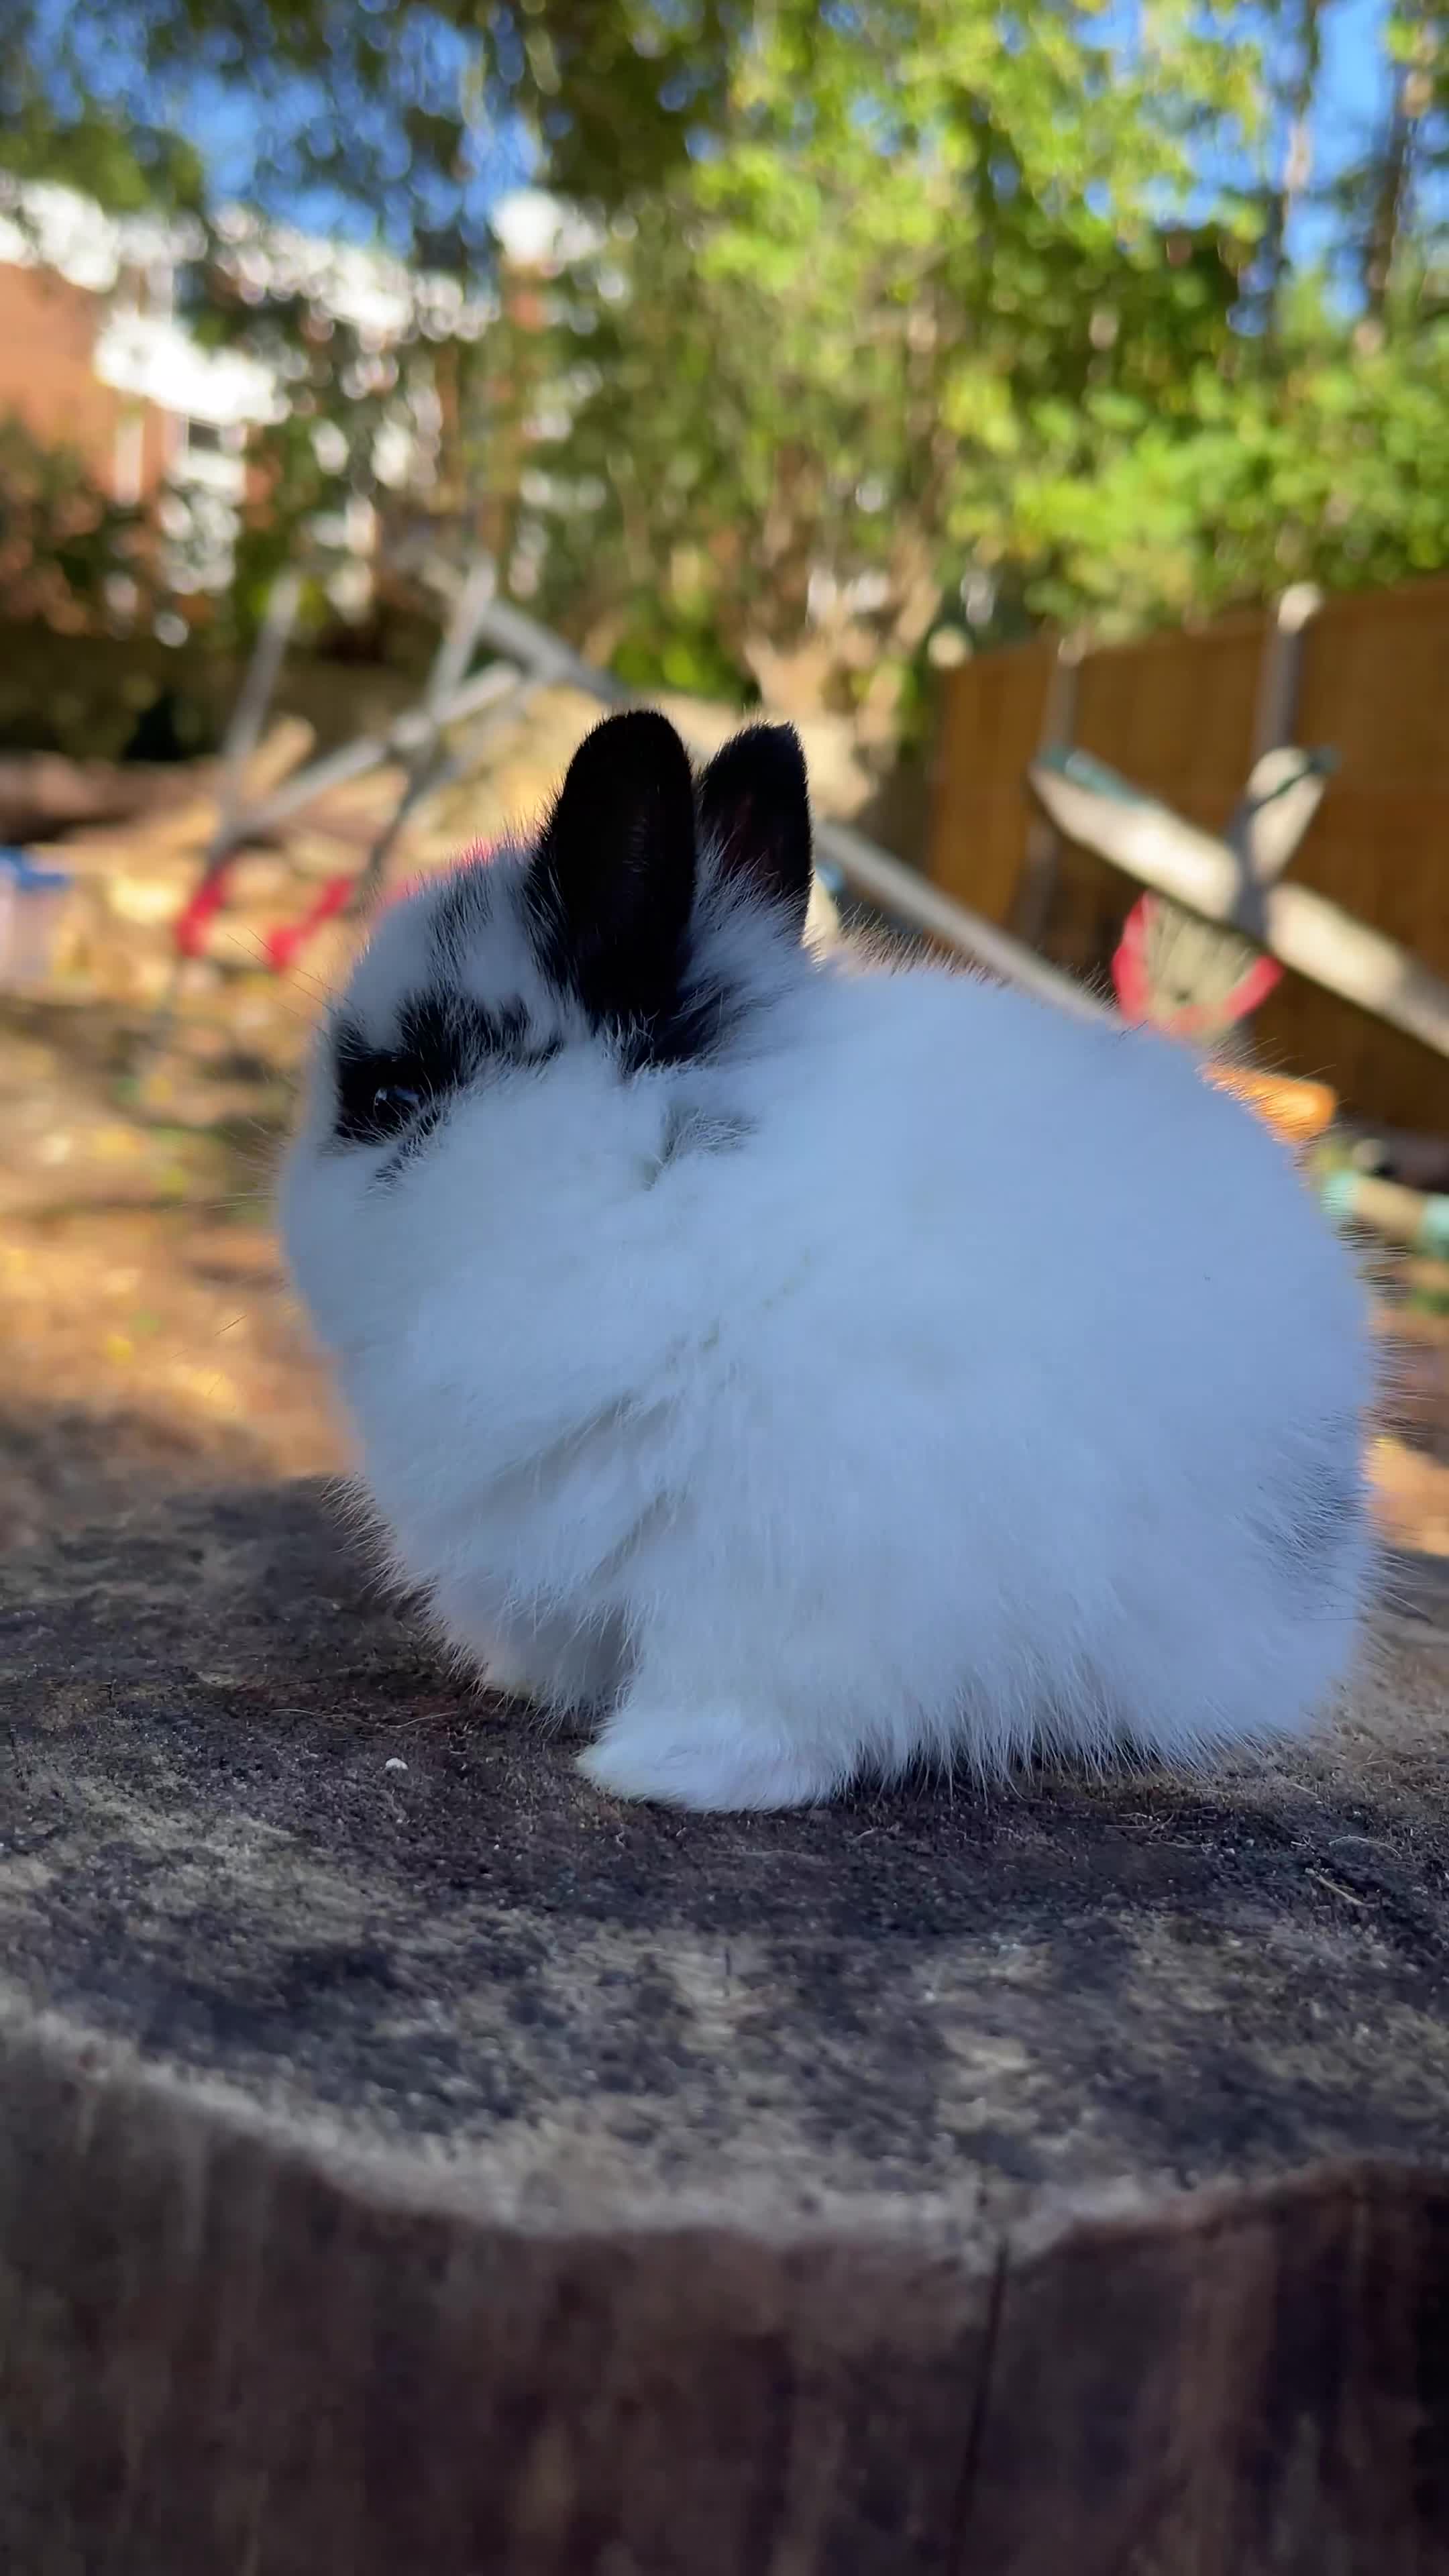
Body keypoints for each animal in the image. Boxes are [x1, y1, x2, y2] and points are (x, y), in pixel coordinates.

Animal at [279, 707, 1376, 1812]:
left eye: (392, 1100)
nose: (287, 1215)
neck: (657, 1208)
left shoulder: (793, 1566)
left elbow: (758, 1697)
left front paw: (659, 1769)